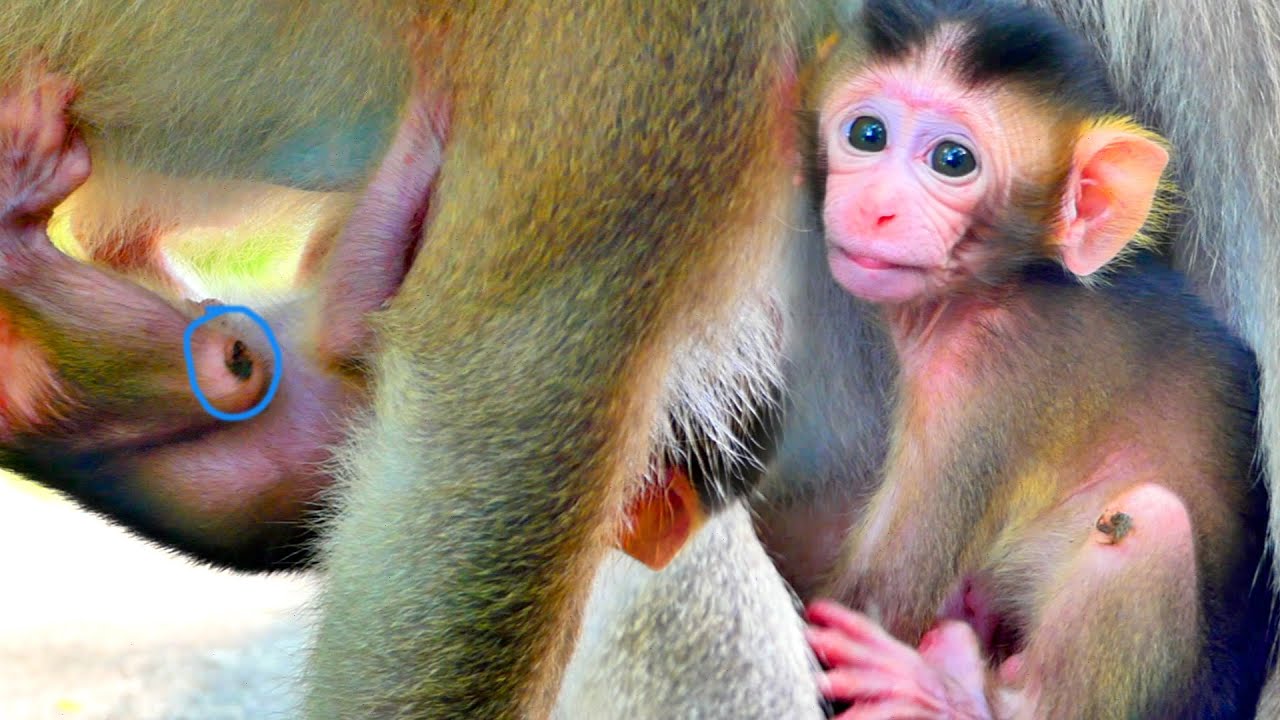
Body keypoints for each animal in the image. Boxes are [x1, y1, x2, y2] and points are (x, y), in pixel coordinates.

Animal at [792, 1, 1275, 717]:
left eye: (953, 160)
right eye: (868, 134)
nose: (877, 209)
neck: (1007, 283)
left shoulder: (986, 378)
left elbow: (881, 597)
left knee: (1149, 521)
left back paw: (956, 694)